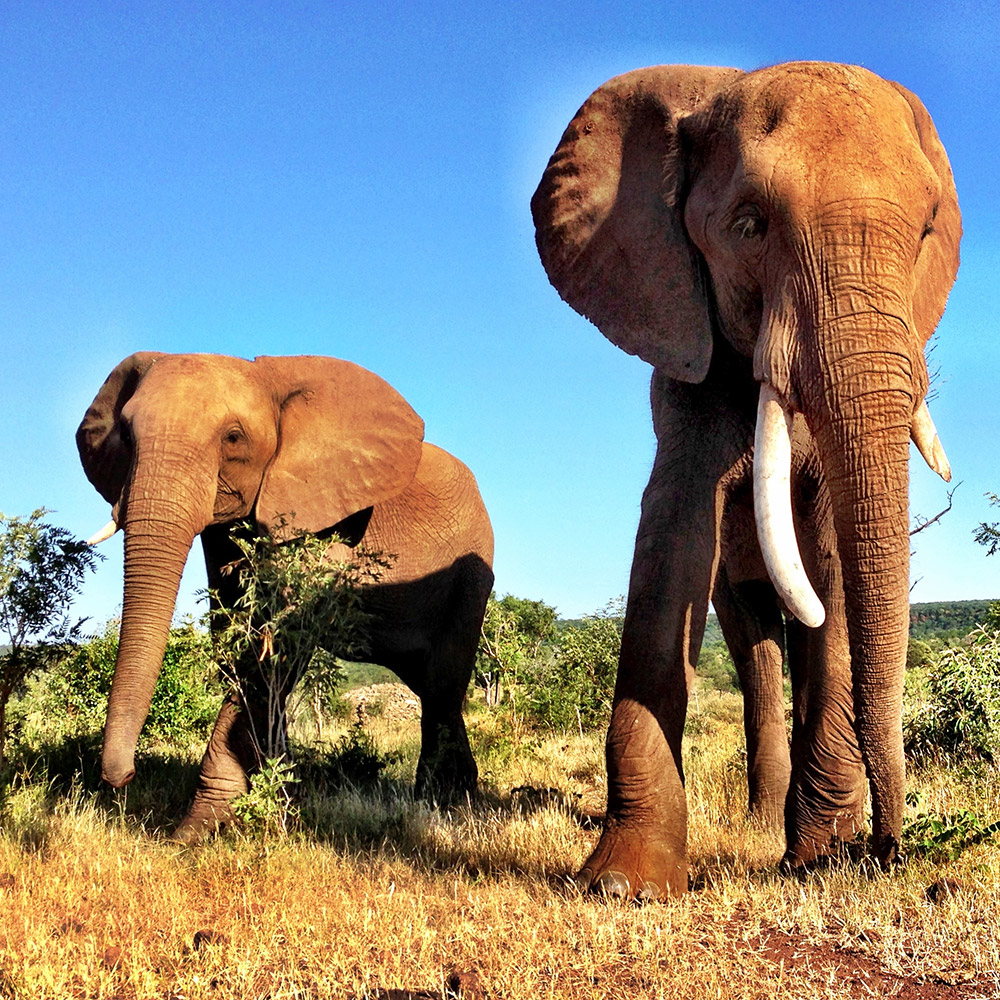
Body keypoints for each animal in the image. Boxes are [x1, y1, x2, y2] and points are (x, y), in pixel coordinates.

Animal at [77, 348, 492, 840]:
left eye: (233, 438)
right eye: (124, 434)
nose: (121, 779)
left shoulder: (328, 519)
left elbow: (275, 642)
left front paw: (197, 830)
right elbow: (233, 628)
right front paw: (275, 795)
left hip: (471, 573)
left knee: (443, 683)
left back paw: (441, 804)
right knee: (428, 683)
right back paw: (461, 796)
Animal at [532, 62, 960, 900]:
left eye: (926, 232)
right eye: (750, 226)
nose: (889, 852)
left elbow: (829, 558)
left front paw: (823, 856)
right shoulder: (682, 349)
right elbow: (676, 525)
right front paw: (625, 885)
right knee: (754, 644)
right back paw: (764, 821)